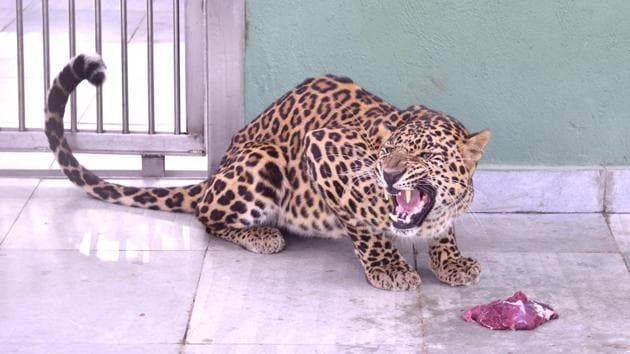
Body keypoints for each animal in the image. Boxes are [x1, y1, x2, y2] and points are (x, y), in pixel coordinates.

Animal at [44, 53, 492, 290]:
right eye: (387, 151)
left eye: (426, 153)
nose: (389, 175)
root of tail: (215, 172)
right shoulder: (322, 147)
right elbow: (365, 227)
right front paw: (388, 268)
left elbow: (445, 229)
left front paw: (450, 260)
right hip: (264, 160)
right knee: (207, 217)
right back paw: (263, 236)